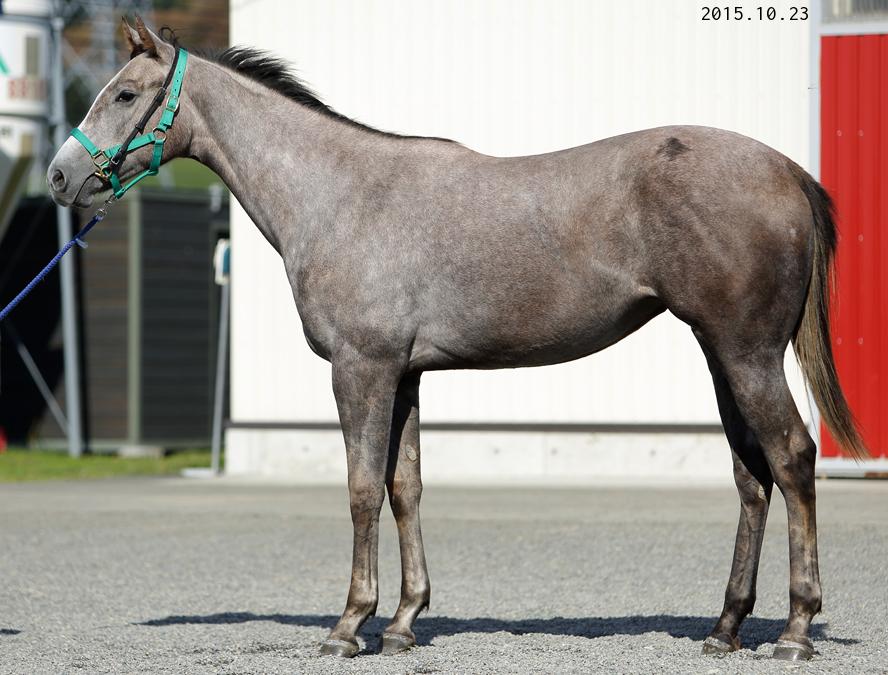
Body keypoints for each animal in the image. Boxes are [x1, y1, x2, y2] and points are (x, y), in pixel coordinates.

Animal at [47, 17, 866, 662]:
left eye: (125, 94)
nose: (60, 176)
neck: (339, 193)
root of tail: (785, 170)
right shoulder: (404, 375)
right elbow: (403, 487)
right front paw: (403, 622)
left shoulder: (361, 370)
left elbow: (360, 489)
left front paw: (349, 624)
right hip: (721, 354)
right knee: (751, 477)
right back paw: (725, 627)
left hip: (747, 354)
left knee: (792, 459)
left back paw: (795, 630)